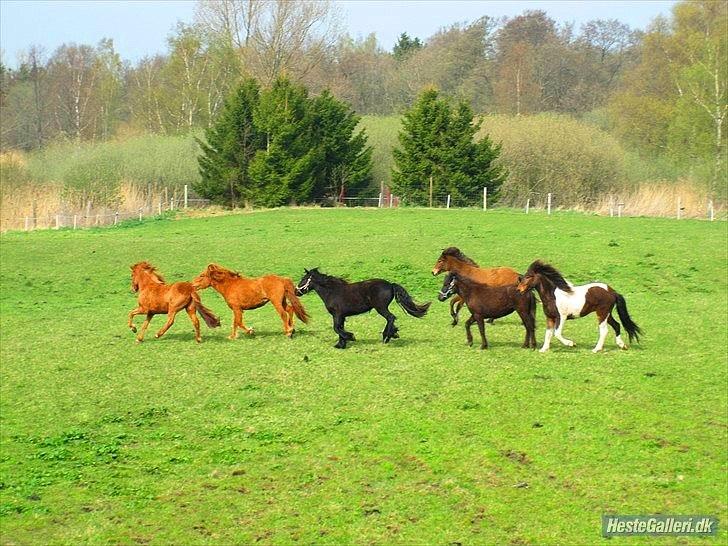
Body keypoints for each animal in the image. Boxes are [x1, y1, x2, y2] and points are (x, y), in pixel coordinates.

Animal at [295, 268, 431, 349]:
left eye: (303, 279)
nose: (296, 292)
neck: (332, 292)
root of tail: (390, 285)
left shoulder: (337, 314)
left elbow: (337, 328)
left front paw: (350, 337)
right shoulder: (341, 316)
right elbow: (340, 328)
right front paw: (341, 344)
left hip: (381, 308)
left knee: (391, 317)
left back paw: (386, 337)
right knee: (391, 319)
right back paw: (393, 334)